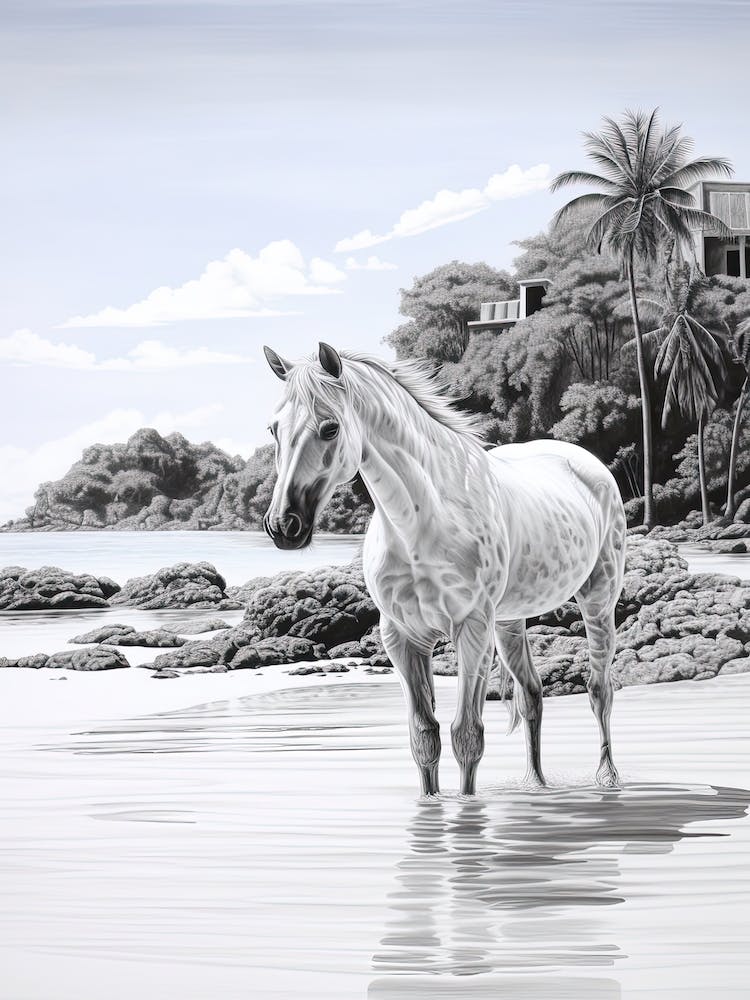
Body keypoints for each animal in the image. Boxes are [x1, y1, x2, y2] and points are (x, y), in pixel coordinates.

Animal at [262, 342, 627, 796]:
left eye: (330, 429)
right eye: (274, 429)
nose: (283, 526)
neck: (421, 523)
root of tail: (584, 461)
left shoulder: (472, 631)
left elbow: (466, 735)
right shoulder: (403, 638)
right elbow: (425, 737)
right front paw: (431, 801)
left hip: (598, 600)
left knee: (600, 690)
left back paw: (607, 778)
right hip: (509, 622)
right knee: (531, 695)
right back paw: (535, 785)